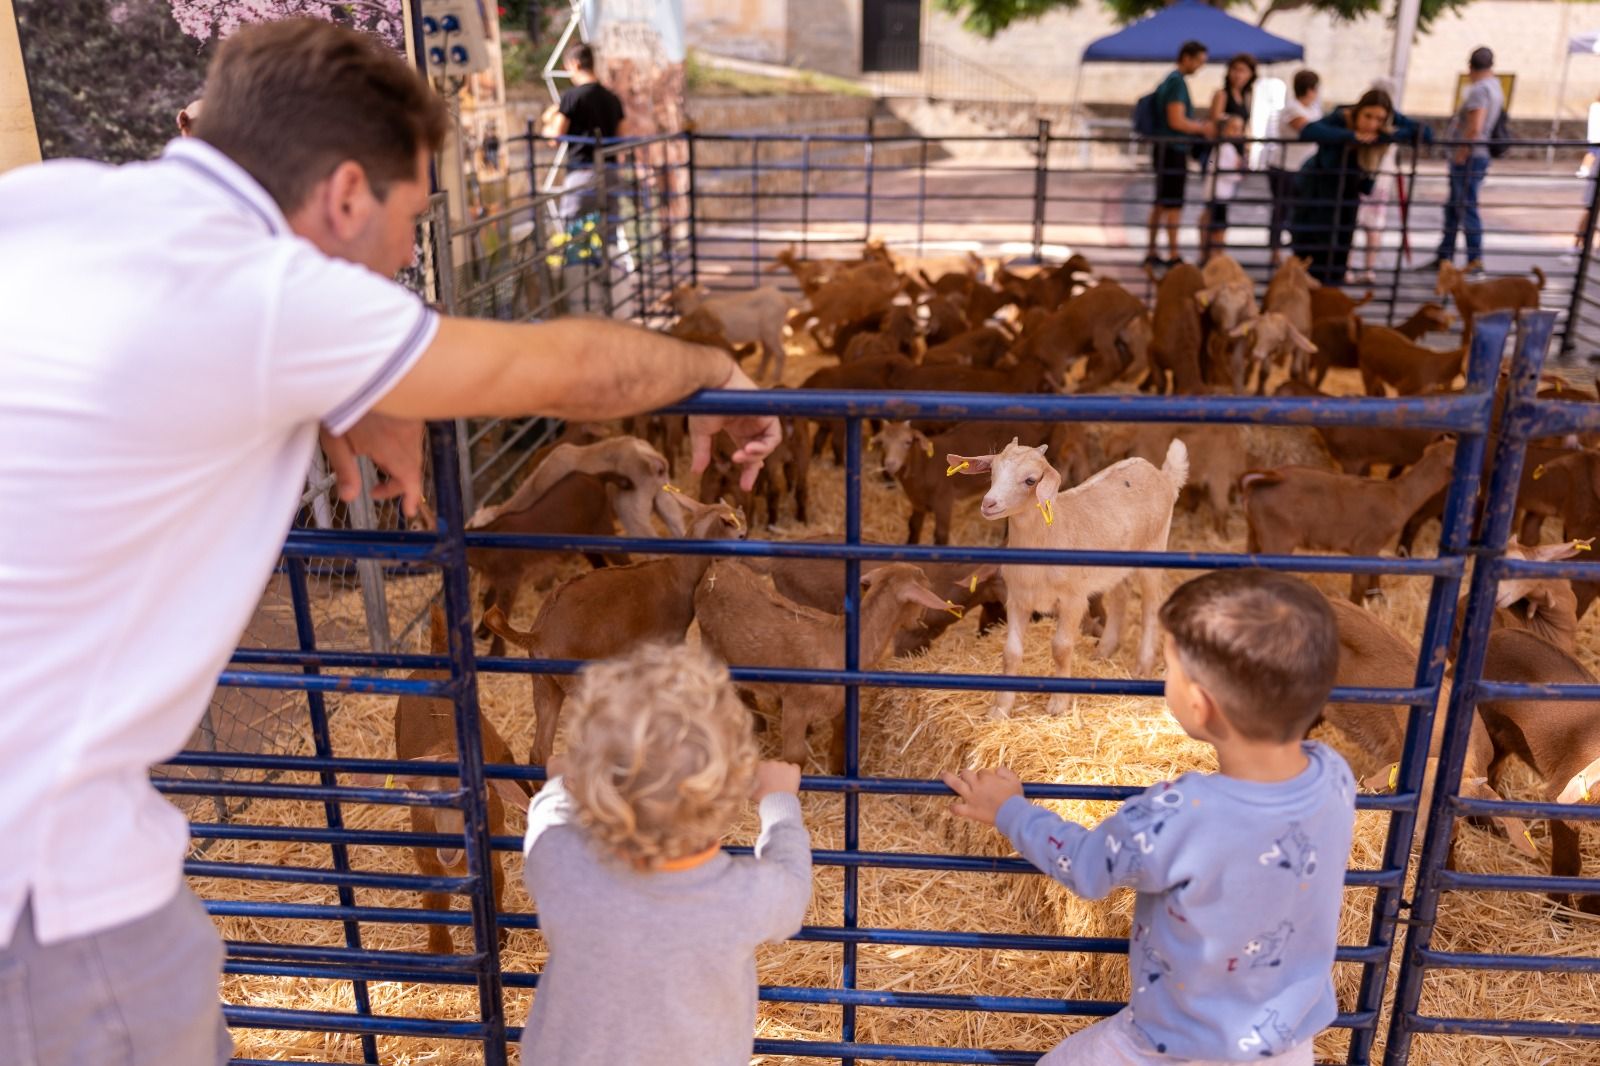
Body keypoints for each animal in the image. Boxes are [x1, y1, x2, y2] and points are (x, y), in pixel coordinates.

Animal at [947, 435, 1190, 717]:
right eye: (993, 471)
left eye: (1030, 480)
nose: (989, 503)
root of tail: (1163, 477)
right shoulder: (1018, 599)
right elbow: (1011, 652)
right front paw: (1001, 708)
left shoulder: (1073, 600)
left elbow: (1061, 648)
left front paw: (1058, 704)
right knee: (1121, 594)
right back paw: (1104, 651)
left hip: (1153, 549)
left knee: (1150, 604)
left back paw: (1142, 665)